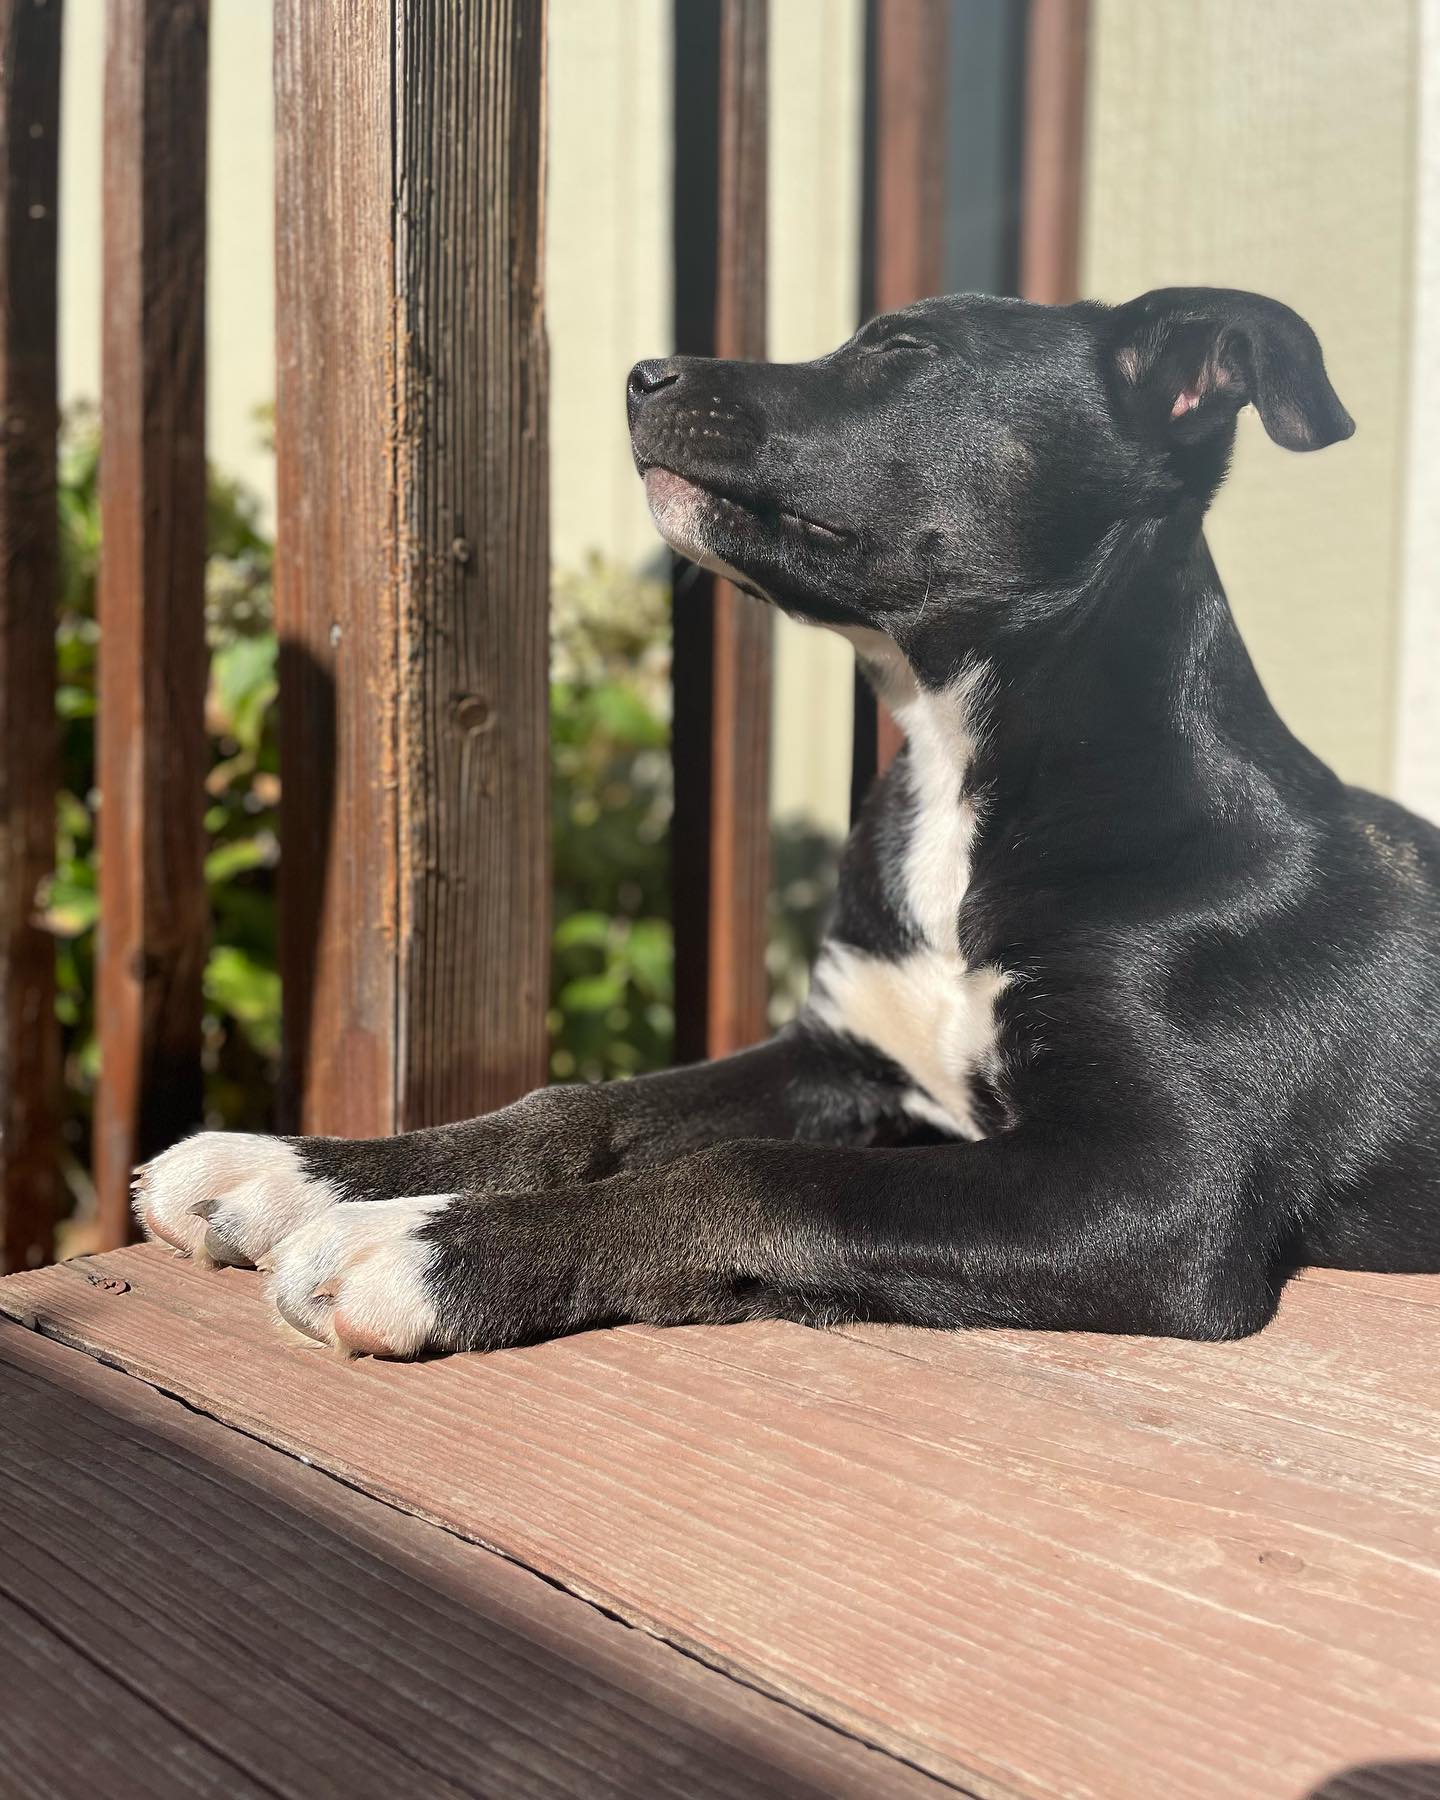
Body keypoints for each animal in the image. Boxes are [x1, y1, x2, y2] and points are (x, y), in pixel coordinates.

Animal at [137, 284, 1440, 1353]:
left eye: (904, 353)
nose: (644, 374)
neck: (961, 769)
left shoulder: (1162, 1192)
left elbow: (756, 1178)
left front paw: (419, 1245)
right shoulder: (841, 1053)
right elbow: (586, 1103)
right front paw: (300, 1169)